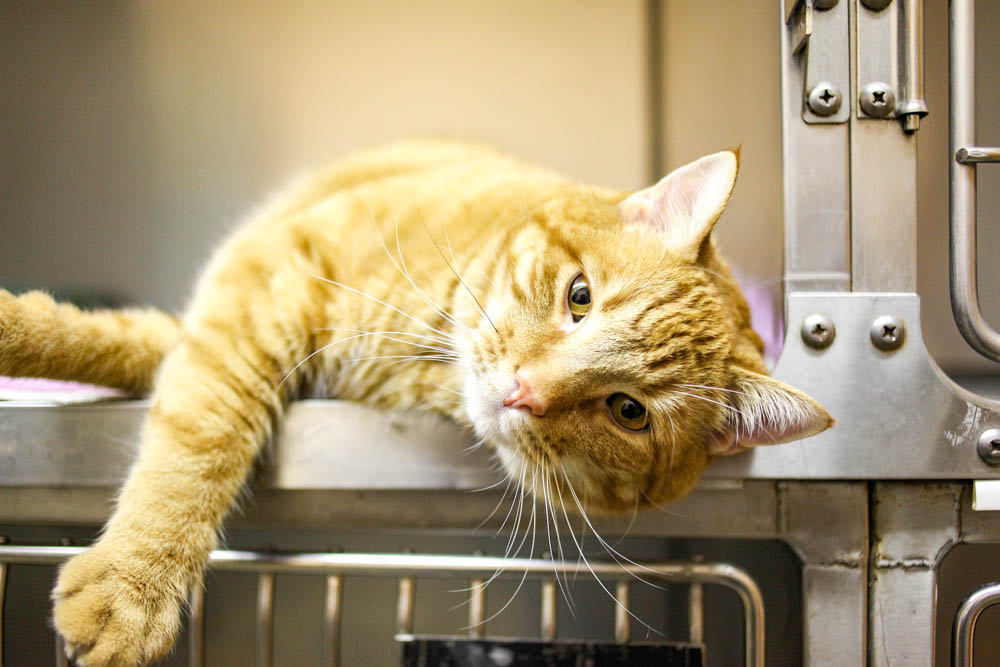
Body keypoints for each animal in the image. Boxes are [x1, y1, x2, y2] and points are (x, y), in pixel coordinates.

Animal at [0, 140, 828, 664]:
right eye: (579, 295)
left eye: (629, 412)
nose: (523, 391)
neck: (427, 349)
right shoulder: (258, 281)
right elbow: (191, 417)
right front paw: (133, 582)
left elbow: (188, 412)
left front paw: (130, 586)